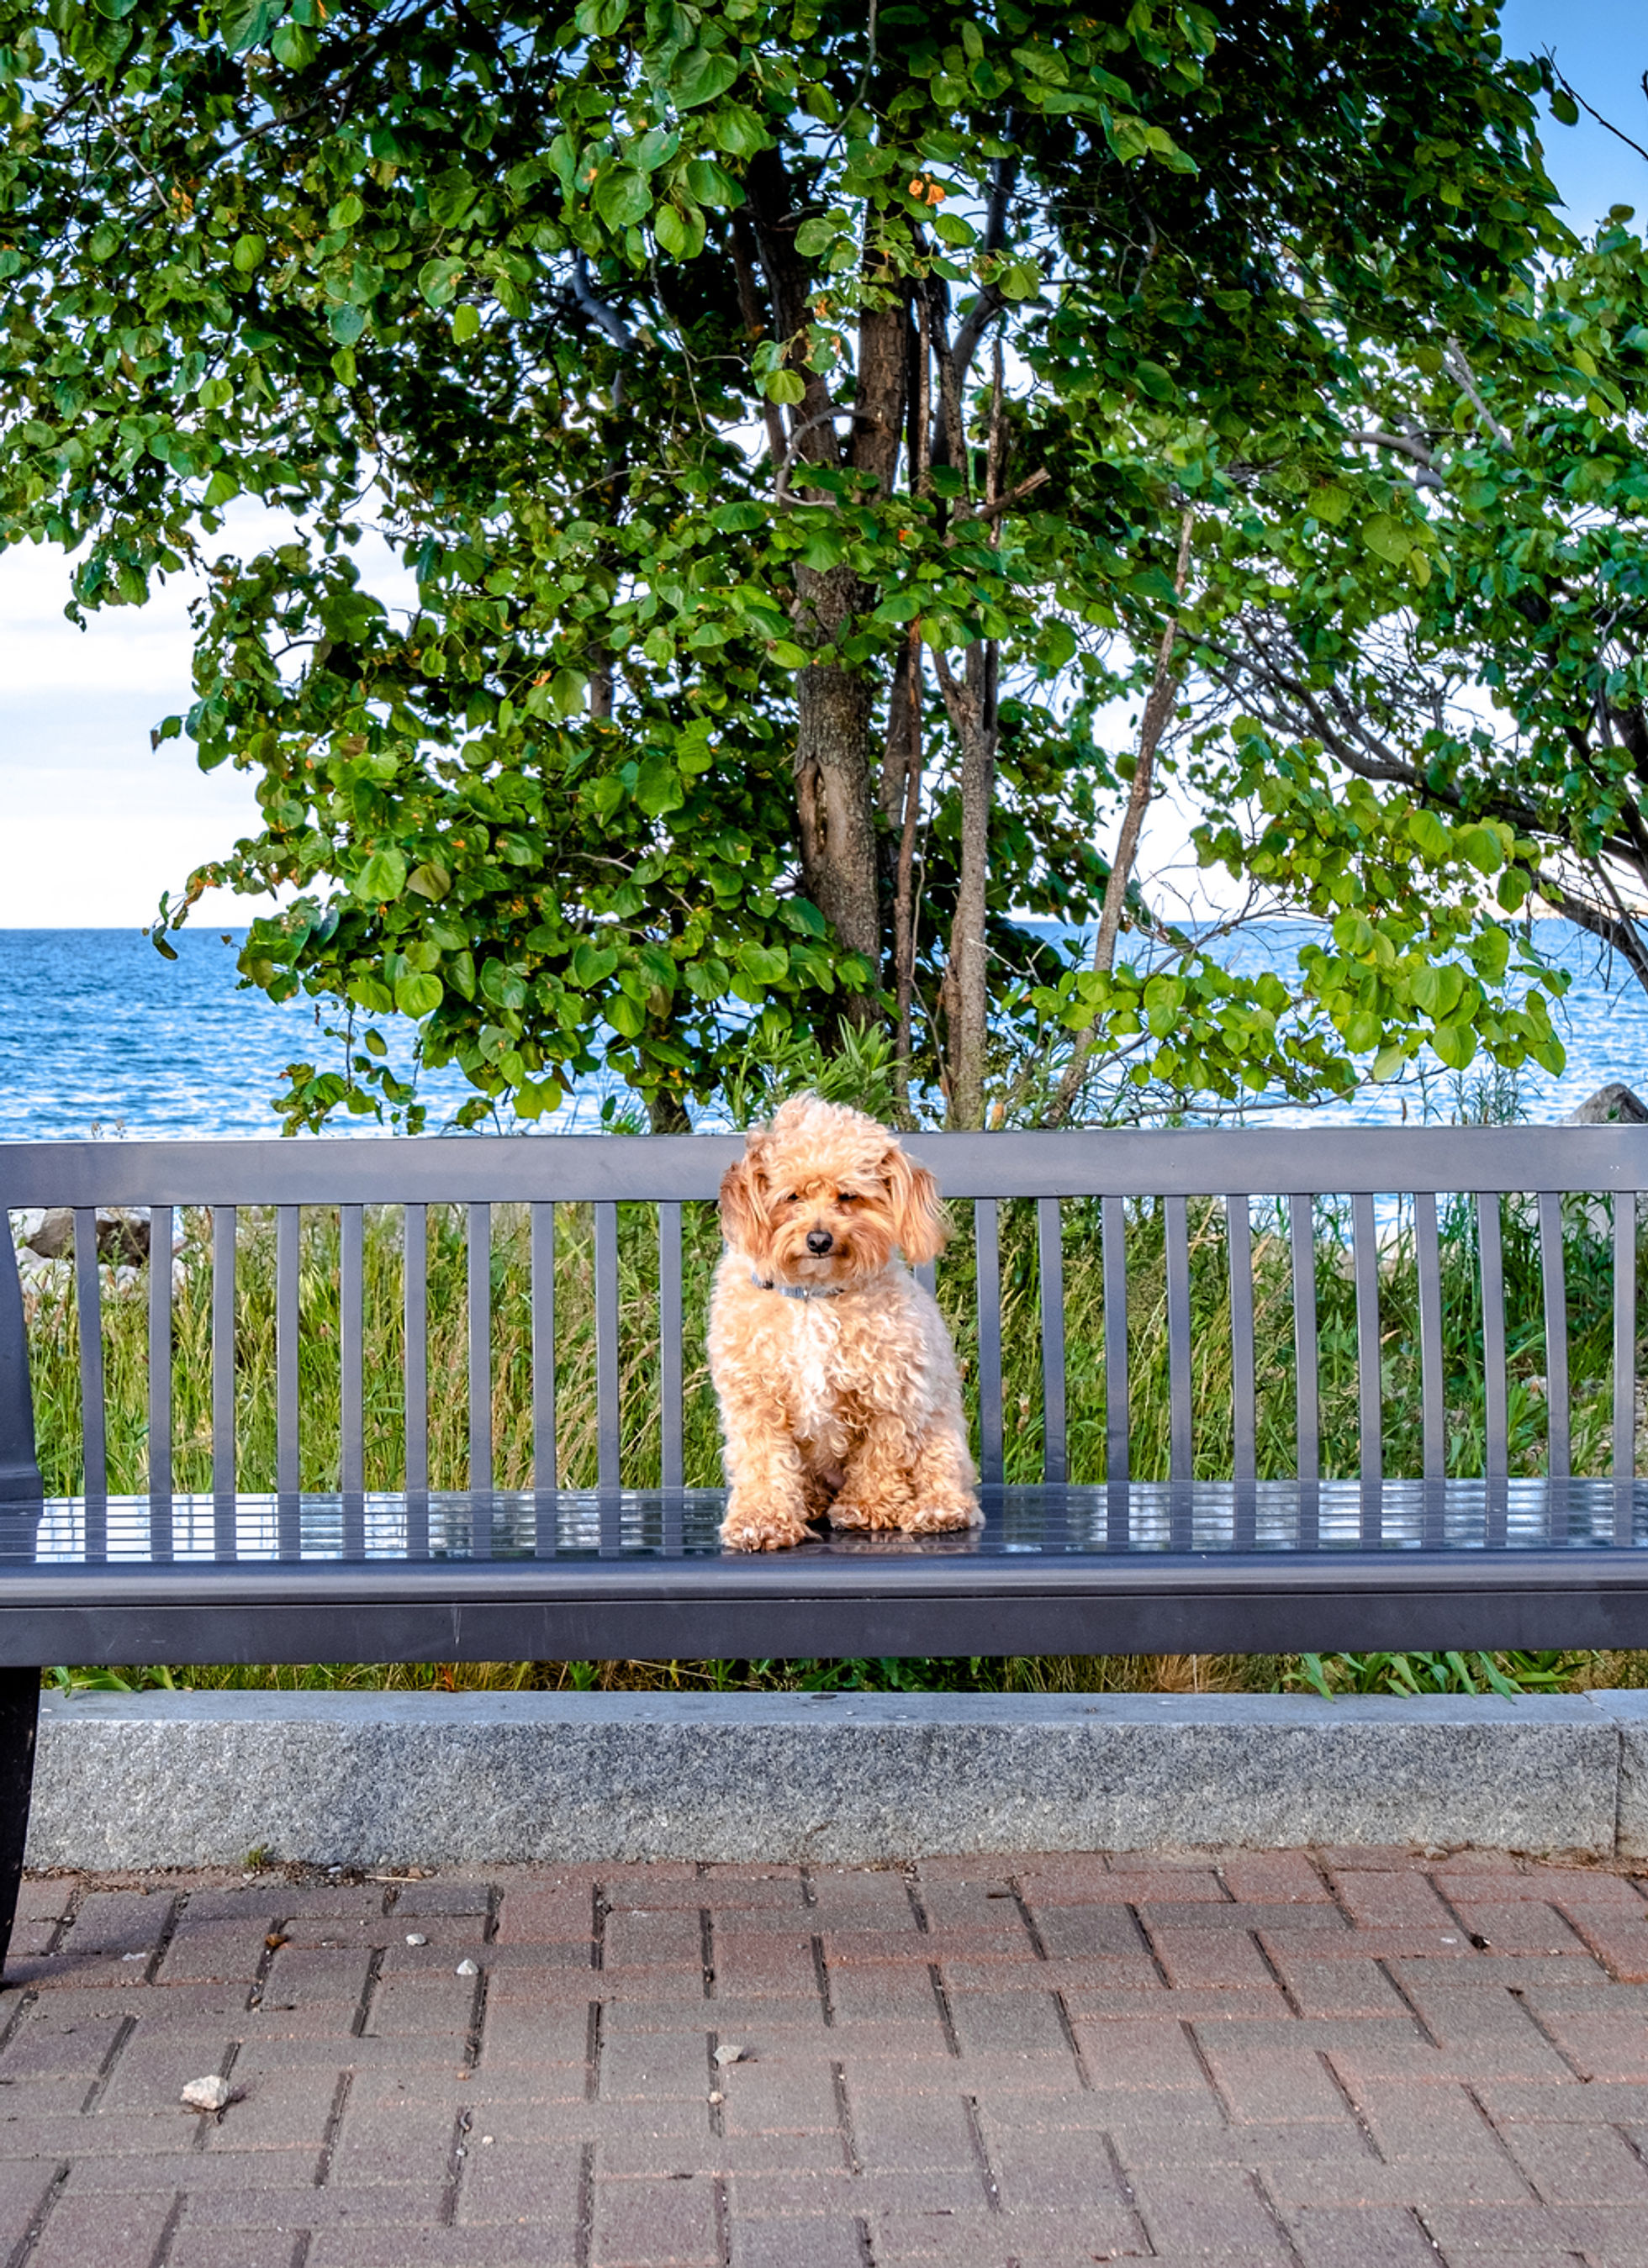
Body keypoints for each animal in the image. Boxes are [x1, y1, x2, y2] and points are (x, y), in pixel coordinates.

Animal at [708, 1097, 980, 1560]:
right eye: (792, 1196)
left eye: (848, 1196)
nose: (819, 1240)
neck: (813, 1297)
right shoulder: (755, 1402)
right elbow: (763, 1465)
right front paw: (761, 1521)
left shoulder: (892, 1396)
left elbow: (880, 1457)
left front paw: (868, 1507)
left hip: (941, 1429)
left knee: (950, 1484)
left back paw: (935, 1511)